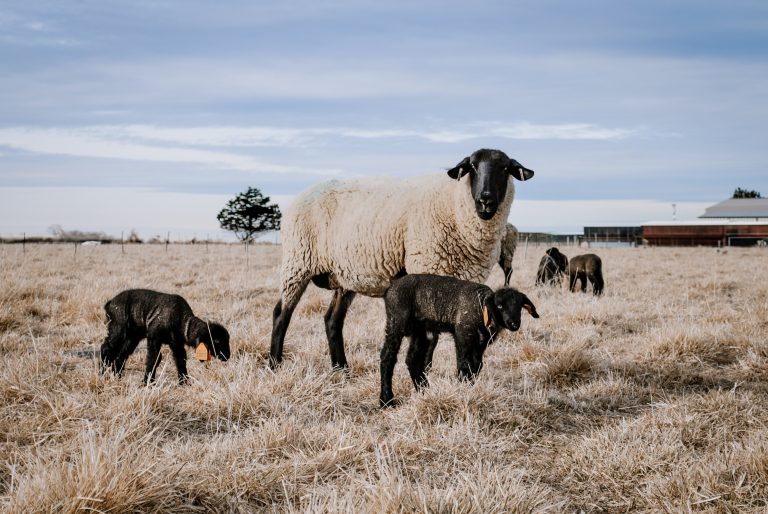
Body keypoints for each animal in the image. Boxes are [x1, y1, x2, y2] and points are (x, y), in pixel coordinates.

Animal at [100, 286, 230, 382]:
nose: (227, 356)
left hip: (132, 337)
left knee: (121, 355)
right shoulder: (154, 338)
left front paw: (184, 382)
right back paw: (102, 374)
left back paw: (117, 376)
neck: (181, 320)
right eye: (217, 341)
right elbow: (154, 358)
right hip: (118, 329)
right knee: (106, 348)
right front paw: (148, 382)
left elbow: (180, 360)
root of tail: (110, 303)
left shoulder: (176, 343)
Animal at [272, 147, 536, 368]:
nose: (485, 200)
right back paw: (274, 364)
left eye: (505, 168)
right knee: (281, 314)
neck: (454, 206)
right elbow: (430, 340)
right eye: (472, 166)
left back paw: (341, 369)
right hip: (297, 262)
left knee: (332, 320)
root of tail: (301, 195)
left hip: (345, 274)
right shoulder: (428, 270)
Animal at [380, 274, 540, 406]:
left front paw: (469, 388)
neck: (480, 308)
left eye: (519, 306)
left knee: (413, 360)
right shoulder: (463, 334)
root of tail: (390, 288)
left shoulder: (481, 342)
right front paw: (462, 390)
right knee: (387, 357)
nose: (514, 324)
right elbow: (465, 365)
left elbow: (477, 366)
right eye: (500, 306)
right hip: (396, 322)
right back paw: (386, 400)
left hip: (420, 330)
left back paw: (424, 391)